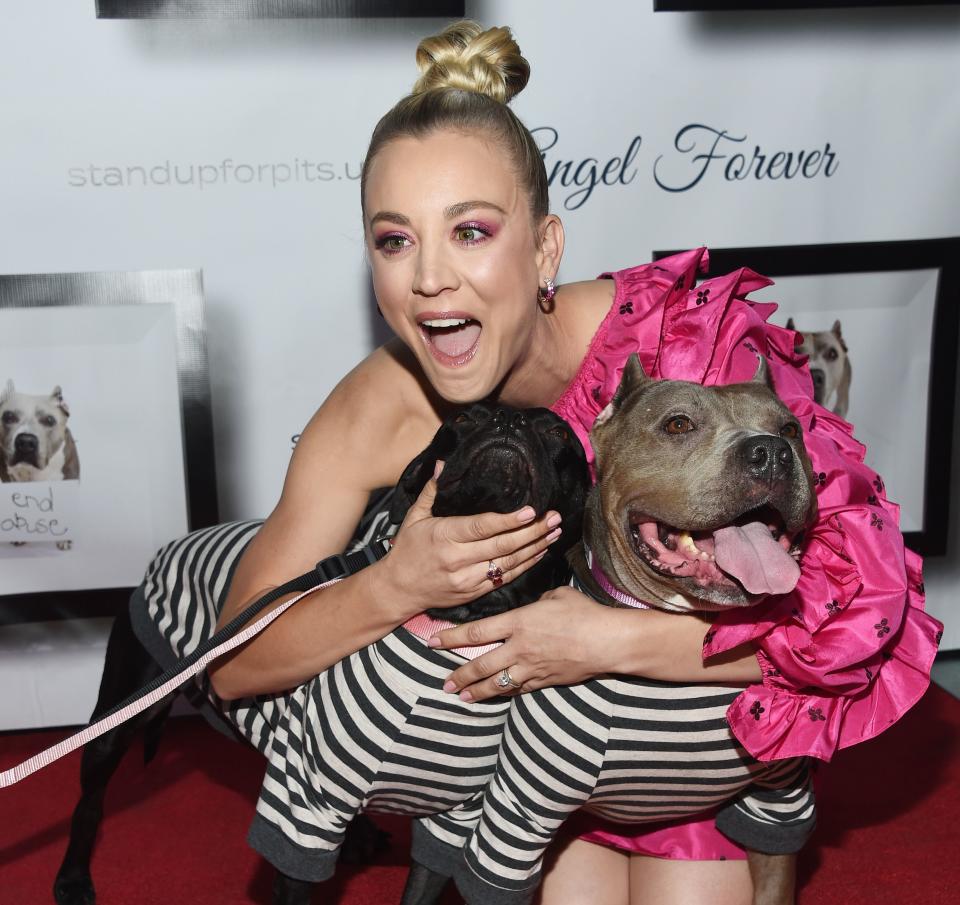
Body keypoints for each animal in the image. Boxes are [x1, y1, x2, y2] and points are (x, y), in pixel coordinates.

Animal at [56, 404, 588, 904]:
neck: (455, 629)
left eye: (557, 431)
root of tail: (171, 544)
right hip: (115, 724)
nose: (508, 423)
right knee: (89, 805)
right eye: (462, 418)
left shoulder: (453, 824)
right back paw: (73, 878)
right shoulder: (304, 808)